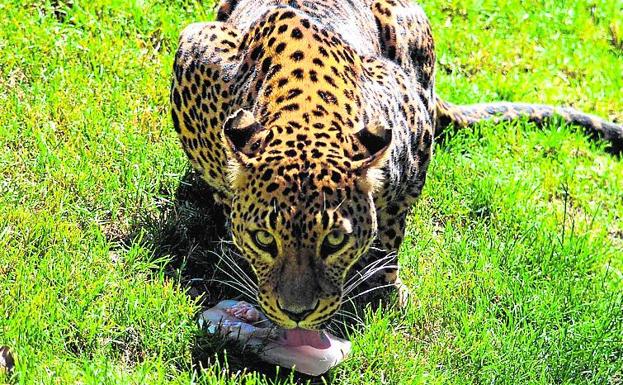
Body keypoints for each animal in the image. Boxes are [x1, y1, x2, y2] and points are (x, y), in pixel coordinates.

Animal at [168, 0, 620, 328]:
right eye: (265, 239)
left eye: (335, 241)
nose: (297, 315)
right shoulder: (195, 51)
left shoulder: (412, 124)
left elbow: (390, 231)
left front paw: (384, 290)